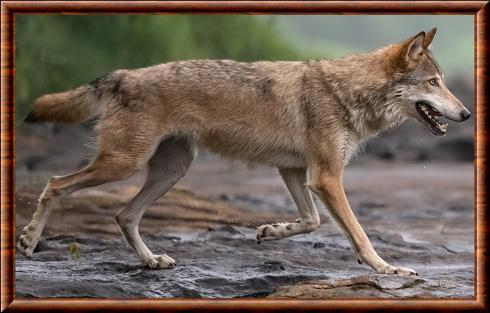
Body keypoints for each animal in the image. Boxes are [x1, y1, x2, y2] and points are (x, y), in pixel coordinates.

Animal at [20, 28, 470, 274]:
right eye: (433, 83)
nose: (466, 113)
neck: (348, 92)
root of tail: (122, 74)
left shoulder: (295, 172)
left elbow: (311, 222)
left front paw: (270, 231)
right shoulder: (326, 178)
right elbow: (359, 234)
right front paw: (388, 268)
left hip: (171, 171)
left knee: (123, 215)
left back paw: (151, 261)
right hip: (123, 165)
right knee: (56, 183)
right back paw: (28, 241)